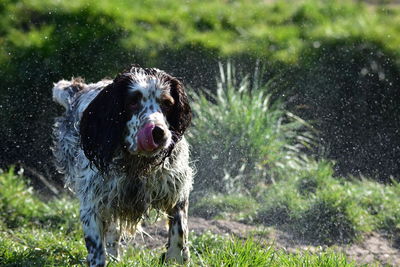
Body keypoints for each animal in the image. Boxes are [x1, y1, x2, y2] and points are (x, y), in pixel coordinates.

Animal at [52, 66, 194, 266]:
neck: (137, 163)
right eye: (132, 102)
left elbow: (179, 232)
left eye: (167, 103)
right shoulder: (93, 204)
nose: (158, 132)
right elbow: (97, 251)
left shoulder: (176, 190)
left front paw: (176, 257)